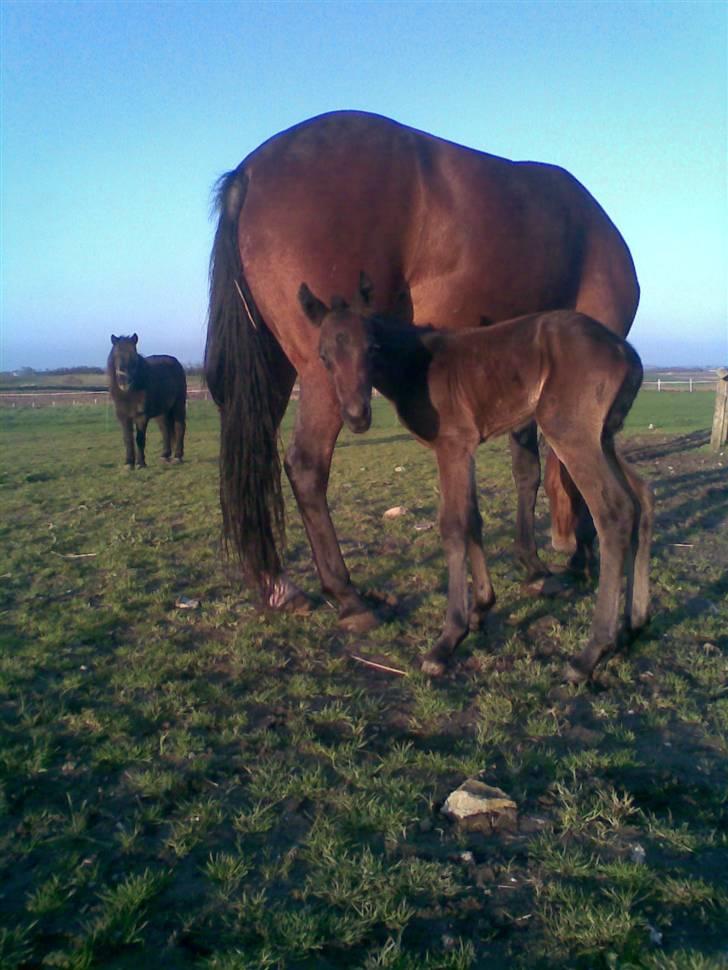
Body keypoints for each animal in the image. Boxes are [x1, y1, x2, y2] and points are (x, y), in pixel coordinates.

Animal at [109, 334, 188, 466]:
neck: (129, 393)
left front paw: (141, 463)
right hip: (162, 412)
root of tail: (176, 363)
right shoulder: (123, 416)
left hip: (178, 405)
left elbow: (140, 439)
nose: (125, 383)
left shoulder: (141, 416)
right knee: (165, 430)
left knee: (179, 427)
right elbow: (127, 439)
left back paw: (178, 456)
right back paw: (165, 455)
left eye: (134, 357)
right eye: (116, 355)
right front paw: (128, 463)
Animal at [205, 113, 636, 632]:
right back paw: (348, 597)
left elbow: (526, 468)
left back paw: (278, 588)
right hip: (320, 379)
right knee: (306, 467)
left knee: (254, 462)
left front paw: (533, 565)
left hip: (273, 372)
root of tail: (250, 171)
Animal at [298, 272, 652, 680]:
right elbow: (473, 519)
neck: (416, 364)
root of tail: (626, 353)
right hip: (603, 436)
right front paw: (481, 607)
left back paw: (590, 653)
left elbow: (453, 526)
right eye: (324, 357)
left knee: (614, 512)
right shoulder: (465, 449)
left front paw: (448, 639)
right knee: (641, 497)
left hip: (570, 432)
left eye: (371, 348)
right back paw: (634, 626)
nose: (357, 416)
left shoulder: (451, 445)